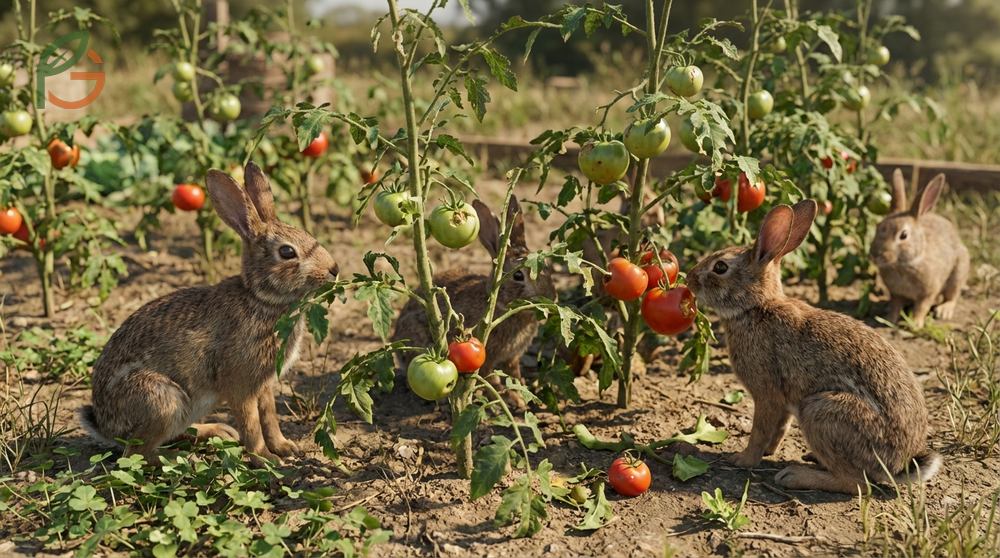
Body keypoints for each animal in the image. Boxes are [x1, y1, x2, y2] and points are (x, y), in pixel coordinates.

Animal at [79, 162, 339, 464]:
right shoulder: (241, 385)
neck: (260, 299)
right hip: (162, 399)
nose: (334, 269)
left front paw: (286, 447)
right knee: (137, 453)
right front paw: (265, 459)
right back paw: (178, 459)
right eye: (287, 252)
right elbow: (252, 424)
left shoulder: (263, 385)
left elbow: (270, 416)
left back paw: (217, 431)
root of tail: (105, 426)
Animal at [391, 197, 555, 405]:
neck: (497, 303)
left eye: (547, 267)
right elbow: (490, 380)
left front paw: (523, 394)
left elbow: (514, 374)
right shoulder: (487, 356)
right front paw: (512, 400)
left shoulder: (512, 357)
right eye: (518, 276)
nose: (552, 297)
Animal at [687, 200, 942, 494]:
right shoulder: (785, 401)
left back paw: (795, 476)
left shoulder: (767, 393)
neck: (756, 307)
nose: (689, 278)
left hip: (820, 413)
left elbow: (760, 430)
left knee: (857, 484)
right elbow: (780, 428)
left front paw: (743, 458)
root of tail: (896, 465)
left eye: (720, 267)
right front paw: (768, 452)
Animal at [870, 169, 969, 328]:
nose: (875, 255)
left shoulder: (928, 292)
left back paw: (943, 311)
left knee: (952, 296)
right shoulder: (896, 293)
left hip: (958, 273)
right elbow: (895, 305)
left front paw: (914, 324)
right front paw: (889, 319)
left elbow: (921, 307)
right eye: (878, 226)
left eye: (903, 235)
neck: (903, 265)